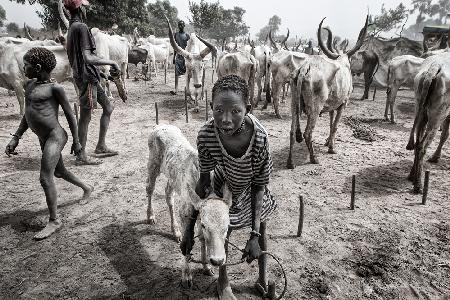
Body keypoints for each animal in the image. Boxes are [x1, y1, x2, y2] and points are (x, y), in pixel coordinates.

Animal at [286, 15, 368, 166]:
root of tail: (304, 68)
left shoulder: (332, 106)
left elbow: (330, 123)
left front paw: (327, 142)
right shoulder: (343, 104)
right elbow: (335, 126)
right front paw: (331, 148)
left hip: (294, 105)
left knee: (292, 132)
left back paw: (290, 163)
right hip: (315, 108)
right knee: (307, 133)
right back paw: (313, 159)